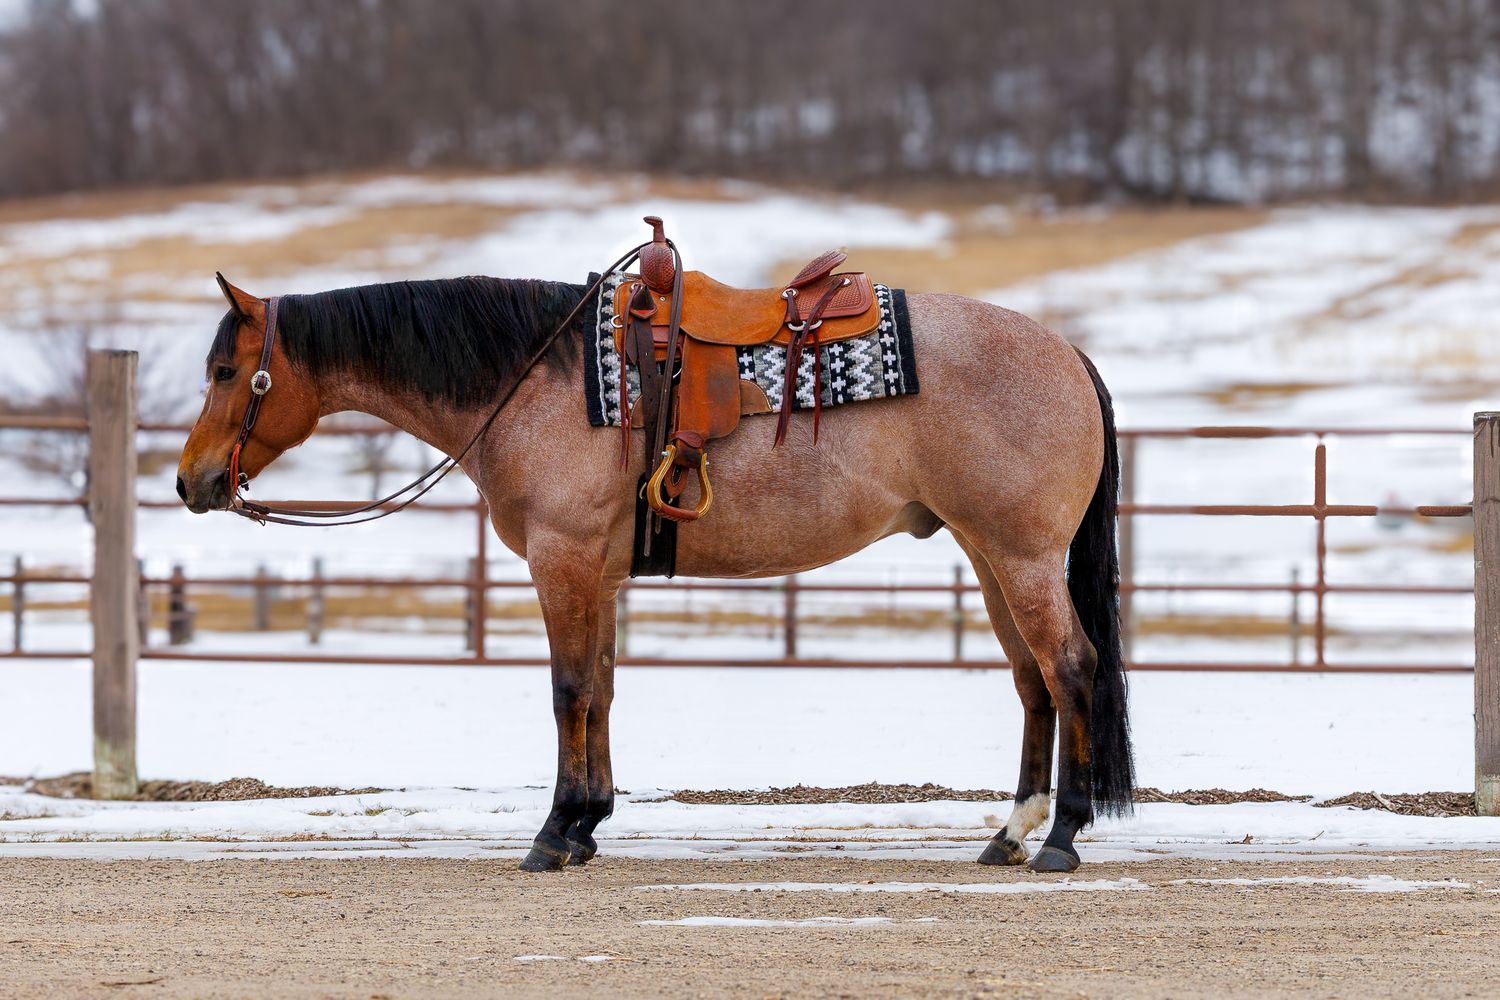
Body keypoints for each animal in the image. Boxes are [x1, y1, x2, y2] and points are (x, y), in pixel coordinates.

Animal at [176, 266, 1135, 874]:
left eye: (226, 369)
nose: (191, 481)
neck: (537, 380)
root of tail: (1068, 355)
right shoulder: (596, 575)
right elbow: (601, 690)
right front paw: (588, 826)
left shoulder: (561, 562)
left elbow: (567, 690)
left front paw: (553, 833)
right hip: (990, 554)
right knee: (1033, 682)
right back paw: (1010, 833)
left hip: (1021, 557)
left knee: (1071, 668)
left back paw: (1061, 839)